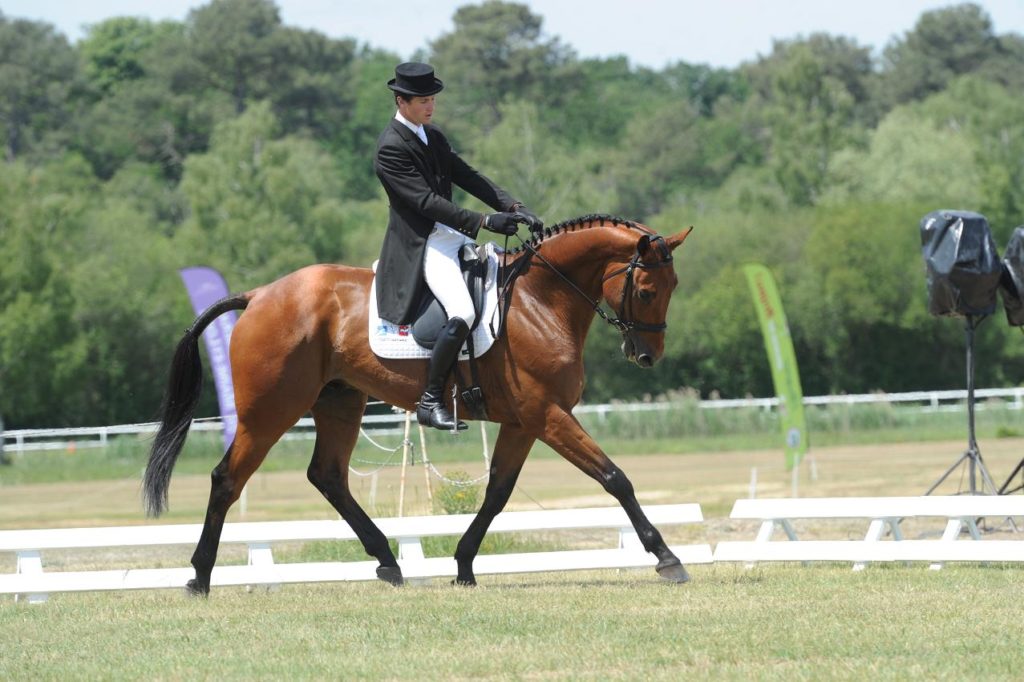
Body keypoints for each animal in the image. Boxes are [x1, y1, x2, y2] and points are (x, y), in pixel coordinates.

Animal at [144, 212, 692, 589]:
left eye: (672, 286)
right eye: (646, 290)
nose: (647, 356)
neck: (540, 299)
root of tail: (259, 295)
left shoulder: (523, 422)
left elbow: (497, 493)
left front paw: (464, 564)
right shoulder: (548, 416)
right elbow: (614, 478)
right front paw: (666, 557)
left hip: (340, 402)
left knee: (328, 476)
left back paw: (388, 562)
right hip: (270, 411)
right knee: (227, 479)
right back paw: (199, 577)